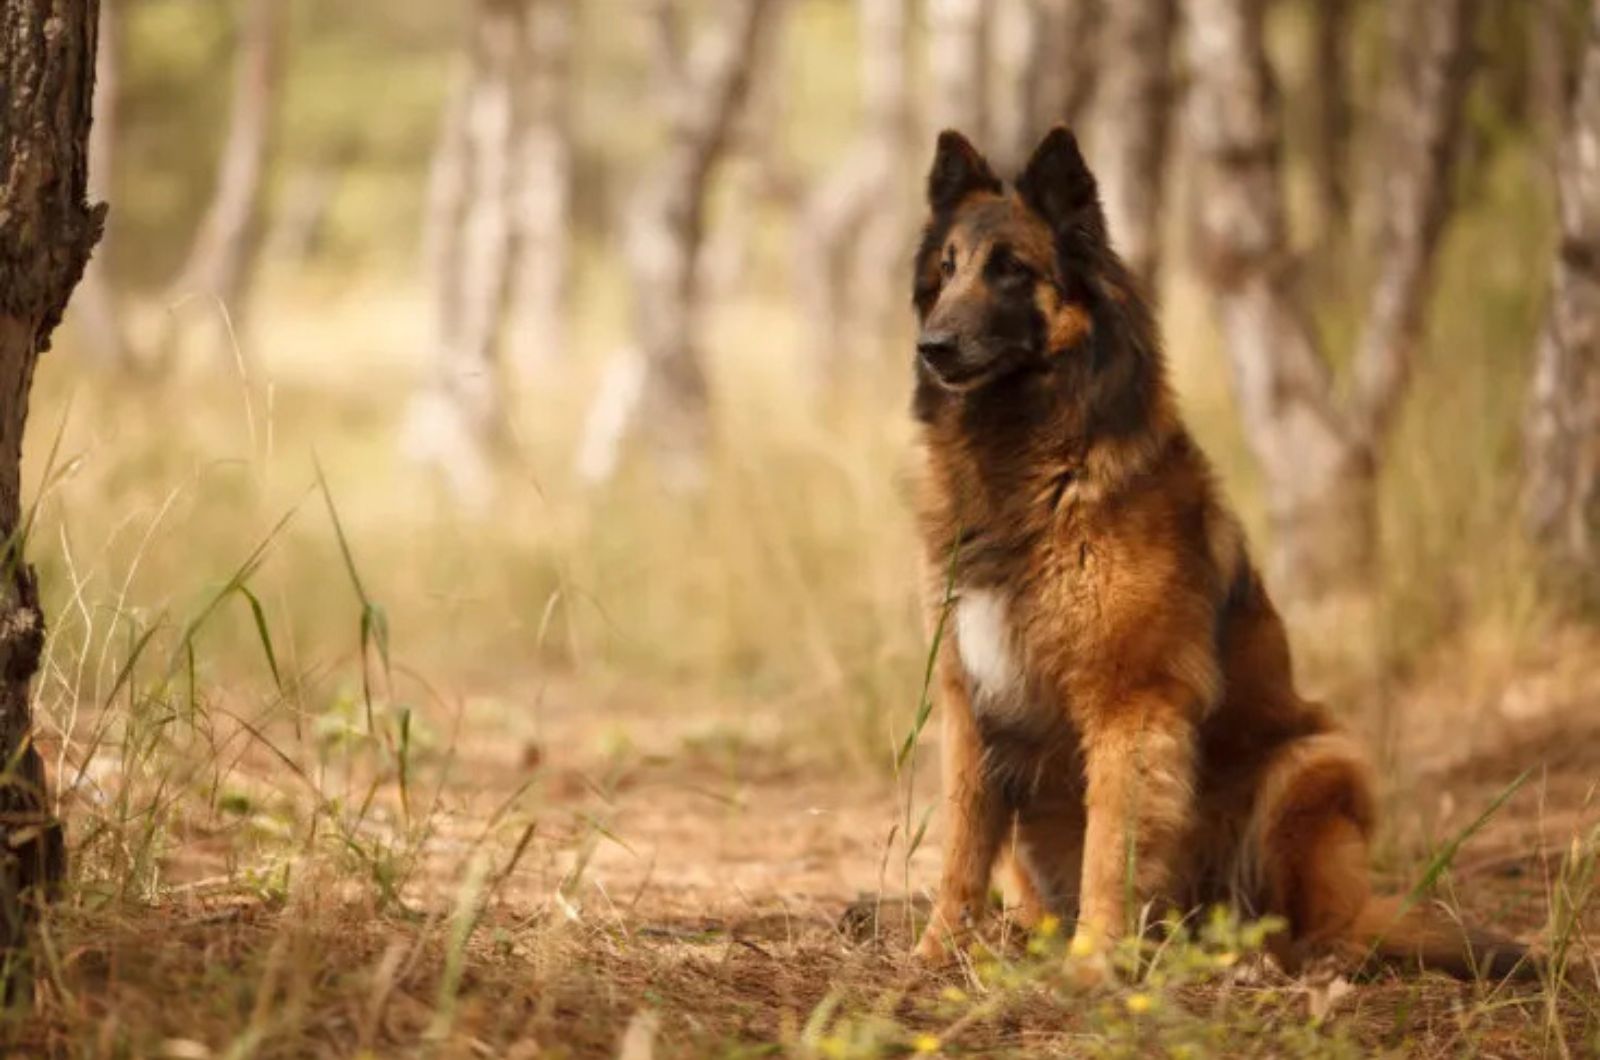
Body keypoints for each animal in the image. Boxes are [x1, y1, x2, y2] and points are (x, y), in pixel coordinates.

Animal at [915, 124, 1523, 979]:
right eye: (946, 270)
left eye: (1011, 270)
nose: (932, 346)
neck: (1023, 460)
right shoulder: (970, 699)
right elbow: (963, 849)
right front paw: (935, 956)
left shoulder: (1132, 703)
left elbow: (1111, 848)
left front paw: (1093, 966)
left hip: (1315, 763)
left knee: (1321, 924)